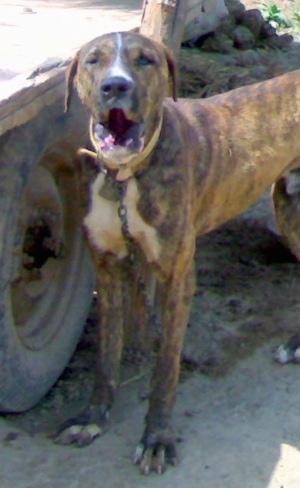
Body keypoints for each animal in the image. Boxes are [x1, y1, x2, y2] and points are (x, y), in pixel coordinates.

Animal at [56, 30, 300, 472]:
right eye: (94, 60)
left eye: (145, 60)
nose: (114, 86)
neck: (126, 177)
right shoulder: (108, 268)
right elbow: (106, 354)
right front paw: (92, 417)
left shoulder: (177, 275)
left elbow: (166, 366)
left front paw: (156, 438)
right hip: (290, 209)